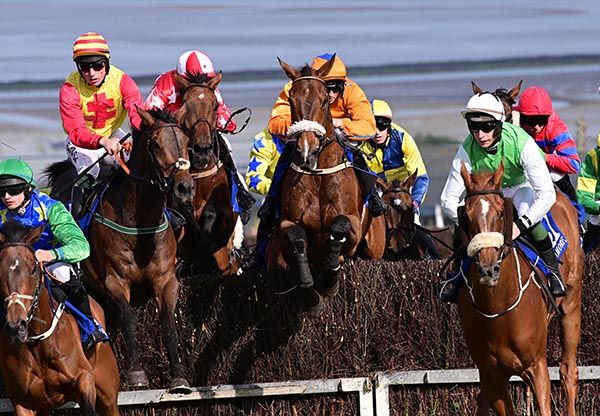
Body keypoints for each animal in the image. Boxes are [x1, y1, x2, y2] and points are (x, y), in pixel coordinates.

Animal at [0, 219, 120, 414]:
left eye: (33, 268)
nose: (17, 326)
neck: (36, 342)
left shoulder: (84, 378)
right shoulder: (22, 402)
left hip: (107, 392)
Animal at [48, 107, 197, 390]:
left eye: (185, 141)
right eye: (156, 144)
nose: (185, 188)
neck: (140, 224)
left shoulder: (166, 279)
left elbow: (167, 321)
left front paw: (179, 376)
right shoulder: (114, 280)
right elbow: (128, 317)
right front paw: (137, 373)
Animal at [266, 55, 384, 316]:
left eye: (323, 100)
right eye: (292, 99)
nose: (307, 151)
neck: (318, 174)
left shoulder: (353, 224)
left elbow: (339, 227)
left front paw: (329, 282)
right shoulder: (287, 226)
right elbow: (296, 237)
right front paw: (312, 296)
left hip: (374, 248)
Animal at [454, 163, 580, 416]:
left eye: (501, 213)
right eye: (467, 216)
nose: (488, 269)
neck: (498, 310)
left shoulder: (537, 367)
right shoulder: (491, 377)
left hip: (572, 306)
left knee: (567, 372)